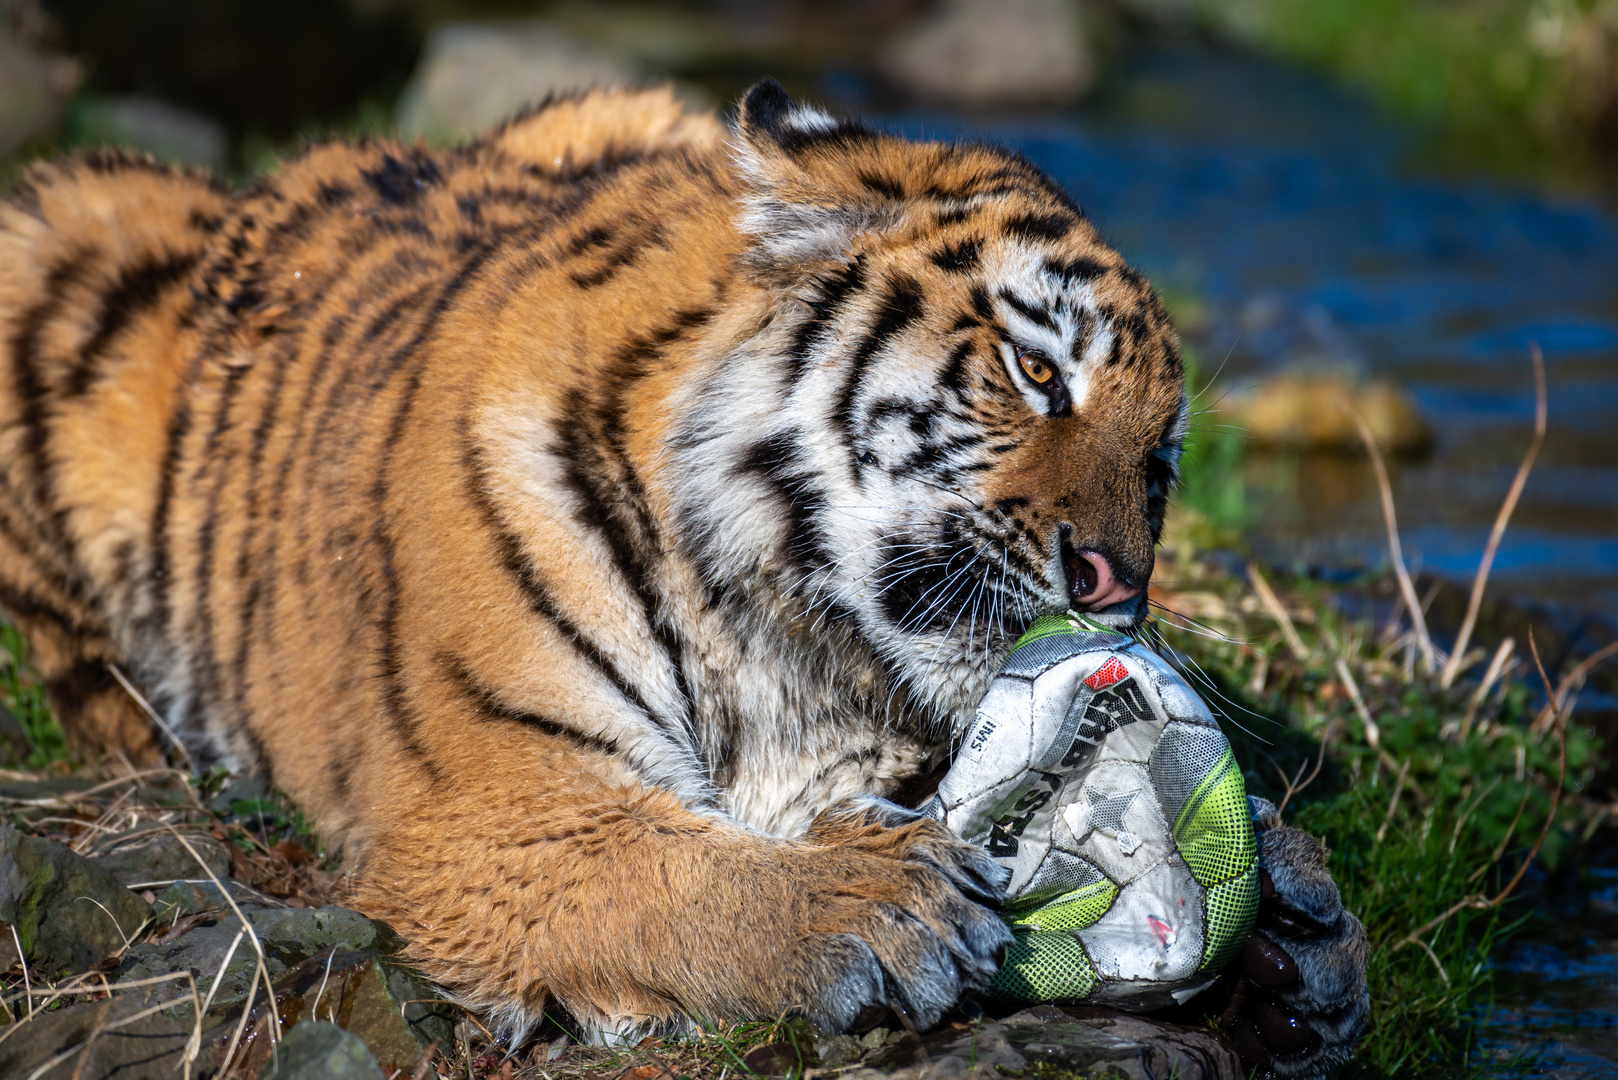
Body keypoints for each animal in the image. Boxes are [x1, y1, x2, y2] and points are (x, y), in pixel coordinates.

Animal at [0, 82, 1365, 1075]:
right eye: (1037, 375)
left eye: (1161, 462)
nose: (1114, 587)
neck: (783, 618)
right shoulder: (493, 807)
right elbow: (673, 870)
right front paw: (871, 910)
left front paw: (1296, 927)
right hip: (61, 219)